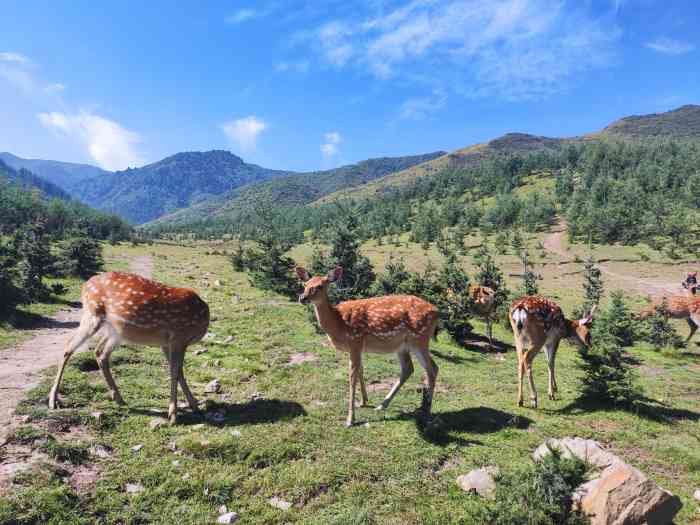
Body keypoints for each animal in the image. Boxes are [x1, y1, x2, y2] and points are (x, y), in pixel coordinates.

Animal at [48, 272, 209, 424]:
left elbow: (179, 372)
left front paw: (194, 406)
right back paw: (53, 400)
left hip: (116, 331)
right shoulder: (178, 338)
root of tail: (85, 284)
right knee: (69, 347)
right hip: (93, 314)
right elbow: (175, 372)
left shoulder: (167, 344)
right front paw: (173, 415)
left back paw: (119, 398)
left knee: (100, 352)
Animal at [296, 266, 438, 426]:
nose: (302, 298)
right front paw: (363, 401)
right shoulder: (358, 347)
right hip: (402, 346)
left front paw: (350, 419)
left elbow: (352, 377)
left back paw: (426, 410)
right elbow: (361, 371)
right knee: (409, 368)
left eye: (320, 286)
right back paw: (383, 404)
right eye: (305, 284)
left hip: (419, 338)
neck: (338, 323)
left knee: (432, 369)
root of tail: (437, 312)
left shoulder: (355, 339)